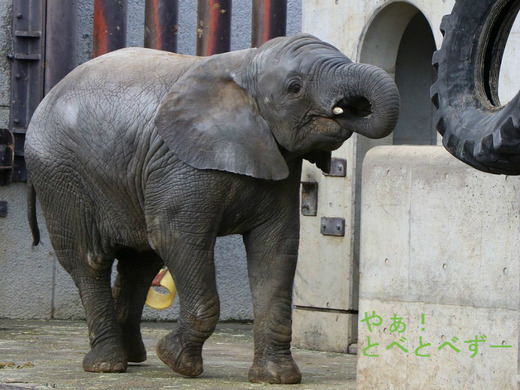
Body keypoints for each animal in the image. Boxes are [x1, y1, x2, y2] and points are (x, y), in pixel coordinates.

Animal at [24, 34, 400, 384]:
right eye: (295, 87)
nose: (349, 109)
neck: (248, 65)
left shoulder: (278, 163)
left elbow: (276, 249)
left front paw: (277, 377)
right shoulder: (181, 164)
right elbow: (178, 239)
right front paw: (176, 362)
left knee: (140, 263)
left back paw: (133, 357)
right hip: (60, 174)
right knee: (91, 258)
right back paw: (107, 365)